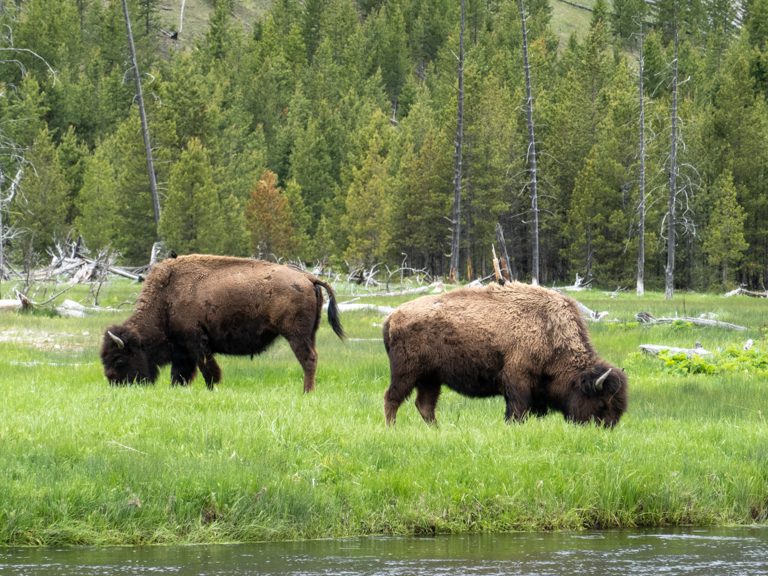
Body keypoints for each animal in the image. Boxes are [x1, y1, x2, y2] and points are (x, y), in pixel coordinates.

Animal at [101, 255, 344, 392]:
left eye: (119, 359)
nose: (114, 383)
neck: (166, 299)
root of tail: (308, 278)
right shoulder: (182, 350)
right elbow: (180, 373)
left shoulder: (196, 344)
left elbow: (207, 370)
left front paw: (212, 388)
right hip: (309, 334)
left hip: (296, 335)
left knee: (308, 360)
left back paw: (306, 392)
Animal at [380, 282, 628, 426]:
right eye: (601, 404)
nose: (606, 428)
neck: (548, 330)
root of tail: (392, 317)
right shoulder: (517, 380)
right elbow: (517, 410)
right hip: (406, 373)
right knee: (392, 398)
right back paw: (392, 428)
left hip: (431, 378)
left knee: (425, 405)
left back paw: (436, 430)